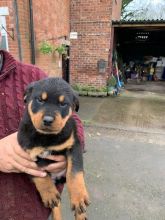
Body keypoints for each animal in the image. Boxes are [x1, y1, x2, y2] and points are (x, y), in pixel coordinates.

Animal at [17, 78, 89, 220]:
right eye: (40, 100)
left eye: (63, 104)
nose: (48, 120)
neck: (46, 137)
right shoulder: (26, 155)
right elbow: (39, 175)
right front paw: (49, 194)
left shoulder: (74, 145)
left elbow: (75, 172)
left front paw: (78, 197)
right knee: (56, 204)